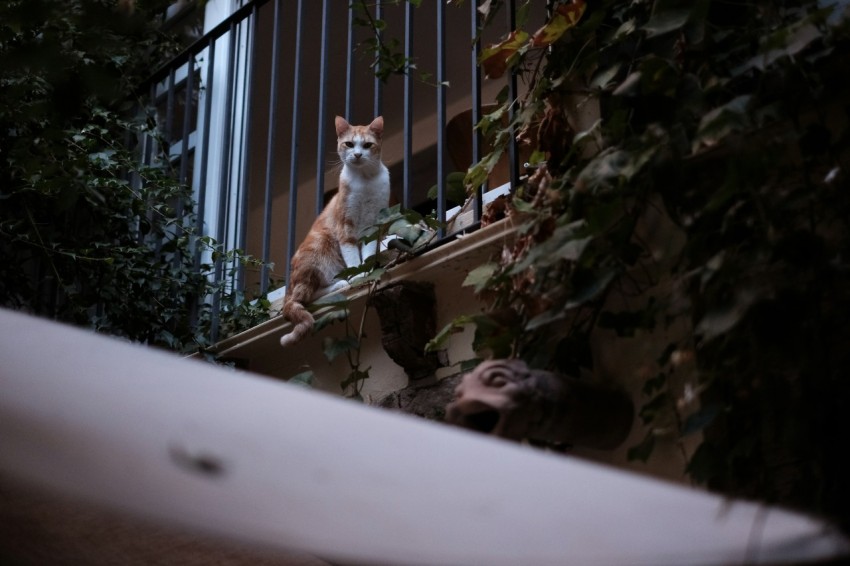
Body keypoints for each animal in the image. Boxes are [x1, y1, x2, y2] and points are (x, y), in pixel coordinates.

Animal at [280, 117, 390, 348]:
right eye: (349, 144)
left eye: (367, 145)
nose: (357, 155)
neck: (365, 181)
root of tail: (287, 290)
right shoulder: (345, 227)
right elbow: (353, 257)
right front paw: (358, 275)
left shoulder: (371, 227)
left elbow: (367, 253)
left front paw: (366, 272)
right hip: (318, 249)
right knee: (306, 298)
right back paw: (341, 283)